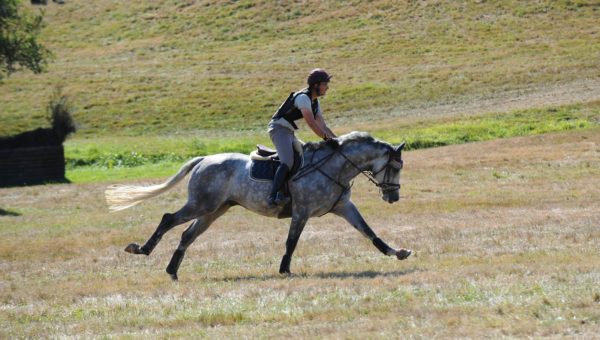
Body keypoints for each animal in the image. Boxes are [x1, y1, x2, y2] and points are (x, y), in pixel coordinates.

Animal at [105, 131, 410, 280]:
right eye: (395, 167)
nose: (393, 198)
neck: (336, 167)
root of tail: (204, 159)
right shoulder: (301, 212)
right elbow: (291, 242)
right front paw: (285, 270)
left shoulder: (344, 207)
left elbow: (369, 232)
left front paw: (397, 252)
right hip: (201, 205)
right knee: (169, 218)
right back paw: (142, 249)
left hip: (214, 210)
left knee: (187, 235)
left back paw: (172, 271)